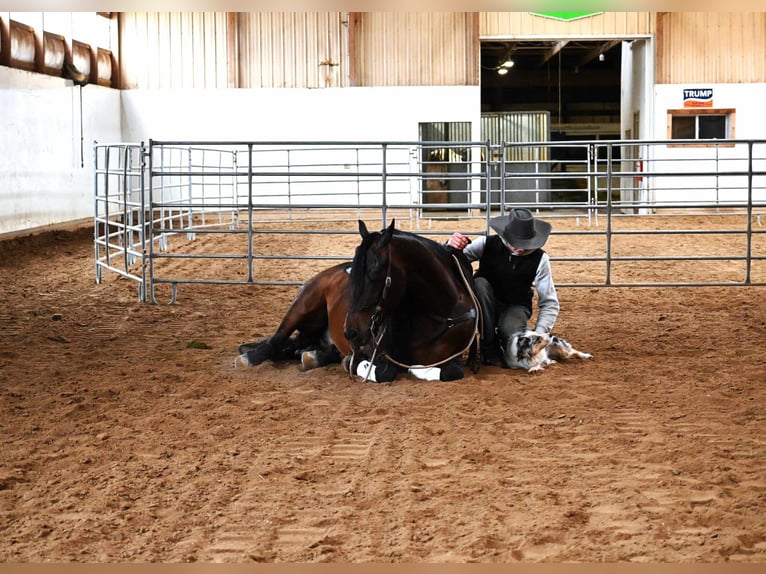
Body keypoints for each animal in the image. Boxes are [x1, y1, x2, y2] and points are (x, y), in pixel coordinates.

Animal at [237, 219, 484, 382]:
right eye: (354, 272)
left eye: (374, 274)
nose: (351, 332)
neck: (441, 315)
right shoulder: (372, 350)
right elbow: (382, 371)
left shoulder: (450, 359)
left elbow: (451, 372)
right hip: (303, 304)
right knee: (275, 342)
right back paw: (250, 357)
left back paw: (312, 355)